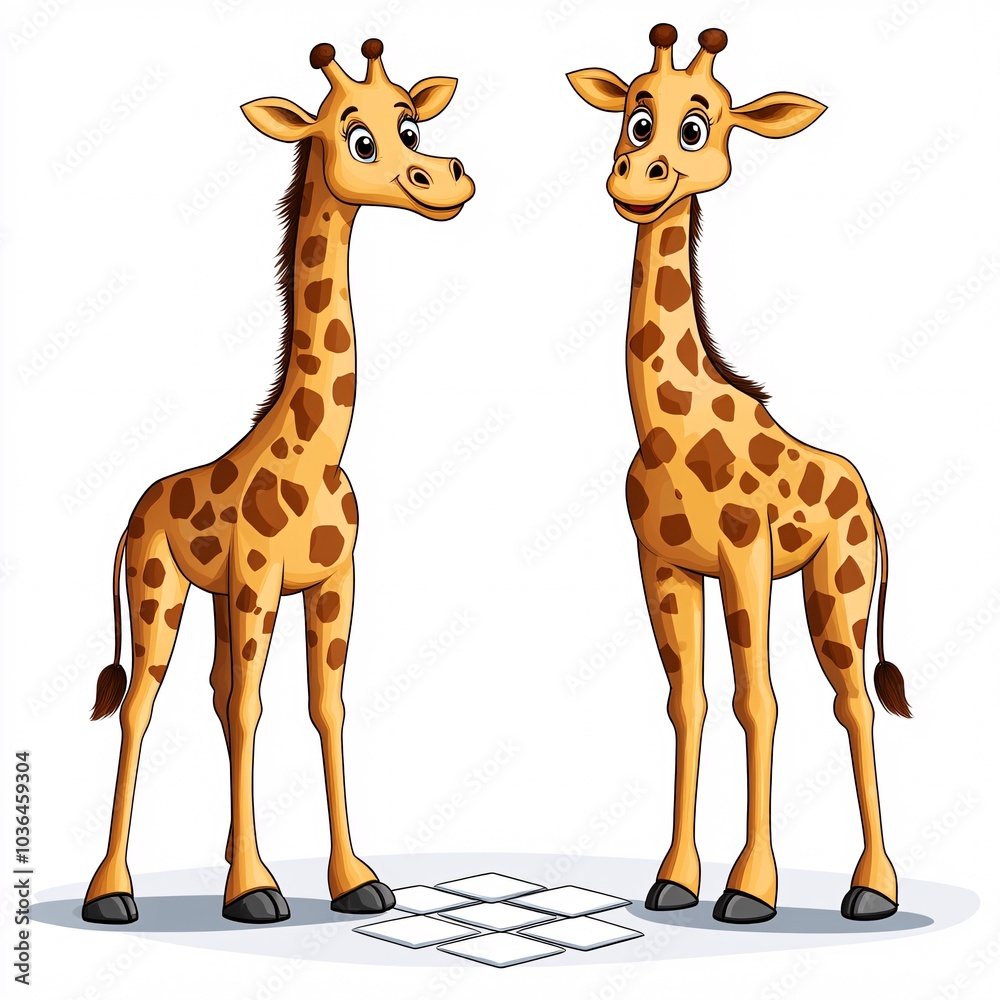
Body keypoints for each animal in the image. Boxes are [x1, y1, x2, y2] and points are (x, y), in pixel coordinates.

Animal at [82, 39, 474, 925]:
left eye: (412, 121)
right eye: (359, 139)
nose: (448, 177)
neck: (317, 452)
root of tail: (132, 513)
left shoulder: (333, 579)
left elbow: (323, 705)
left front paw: (353, 880)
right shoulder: (260, 576)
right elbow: (253, 708)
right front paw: (256, 891)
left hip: (217, 597)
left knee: (214, 691)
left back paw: (228, 858)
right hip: (161, 588)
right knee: (143, 706)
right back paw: (113, 889)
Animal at [568, 25, 910, 924]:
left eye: (697, 127)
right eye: (632, 113)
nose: (633, 178)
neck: (666, 425)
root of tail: (871, 500)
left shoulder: (745, 556)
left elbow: (759, 701)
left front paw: (751, 887)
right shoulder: (663, 563)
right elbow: (687, 702)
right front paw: (674, 879)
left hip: (839, 581)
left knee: (853, 703)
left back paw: (874, 888)